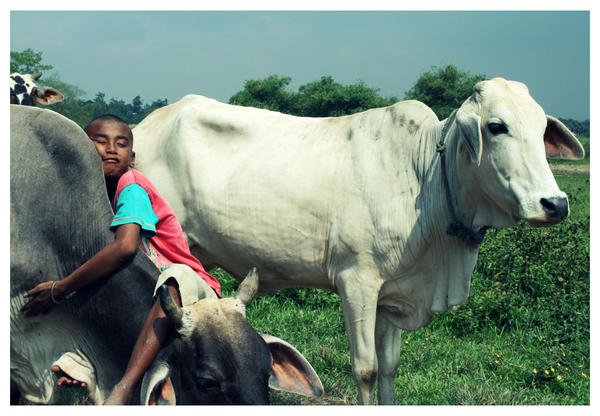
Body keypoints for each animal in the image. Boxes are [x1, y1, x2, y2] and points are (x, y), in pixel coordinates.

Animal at [132, 77, 584, 404]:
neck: (425, 175)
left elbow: (389, 367)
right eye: (496, 126)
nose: (554, 203)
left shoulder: (392, 295)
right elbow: (365, 369)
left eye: (541, 128)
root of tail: (146, 125)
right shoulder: (357, 283)